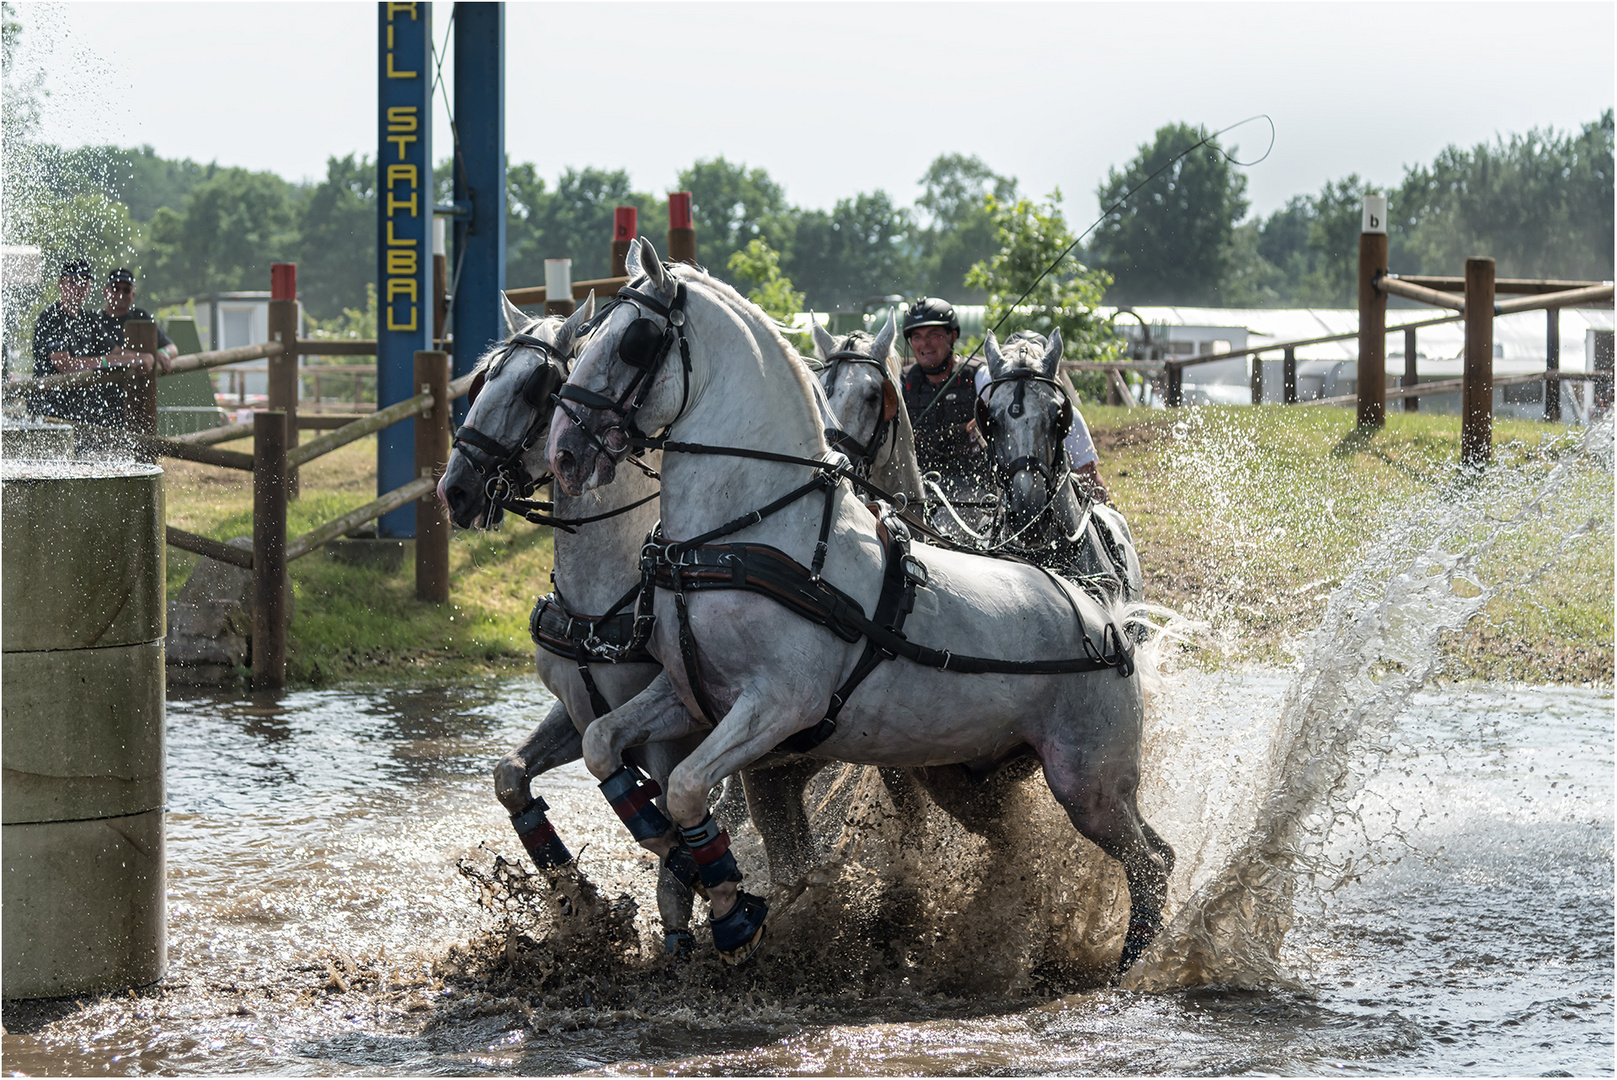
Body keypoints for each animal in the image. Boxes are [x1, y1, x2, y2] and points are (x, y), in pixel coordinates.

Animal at [549, 237, 1170, 976]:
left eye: (634, 342)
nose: (563, 451)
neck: (749, 533)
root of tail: (1102, 617)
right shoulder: (691, 693)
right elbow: (603, 745)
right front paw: (678, 857)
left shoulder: (780, 704)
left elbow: (687, 786)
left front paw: (733, 909)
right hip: (971, 778)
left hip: (1088, 783)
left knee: (1152, 861)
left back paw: (1129, 965)